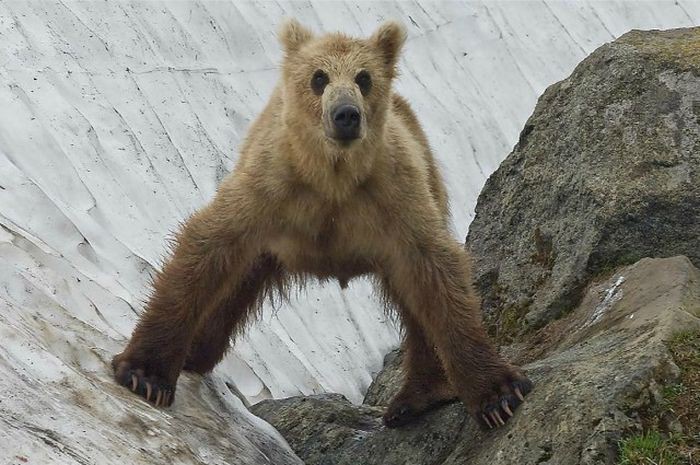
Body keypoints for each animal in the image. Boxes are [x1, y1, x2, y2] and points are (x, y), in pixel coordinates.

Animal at [113, 20, 532, 430]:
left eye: (364, 77)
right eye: (319, 77)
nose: (346, 114)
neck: (333, 177)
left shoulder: (392, 192)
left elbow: (435, 272)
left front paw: (499, 395)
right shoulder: (270, 186)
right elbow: (207, 246)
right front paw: (145, 373)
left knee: (413, 298)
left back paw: (414, 397)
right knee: (234, 287)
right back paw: (196, 353)